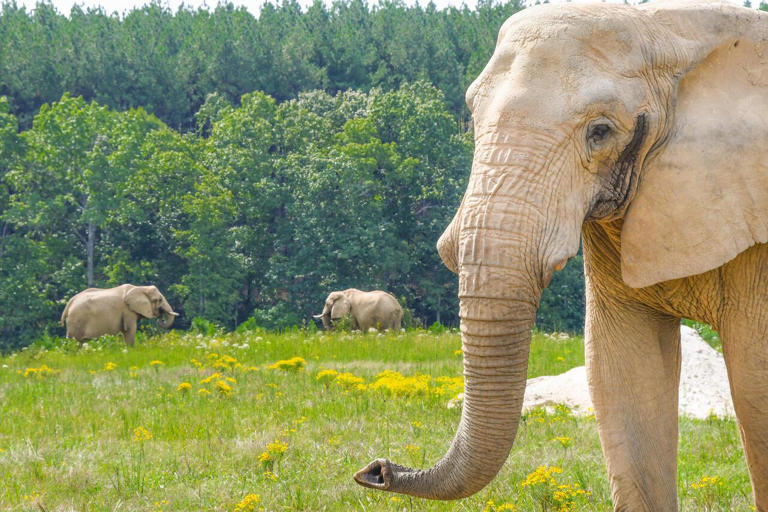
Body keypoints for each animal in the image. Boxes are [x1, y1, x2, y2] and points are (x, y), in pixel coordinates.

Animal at [354, 2, 768, 510]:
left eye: (600, 132)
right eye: (472, 115)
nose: (376, 469)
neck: (668, 28)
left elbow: (754, 384)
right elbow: (621, 373)